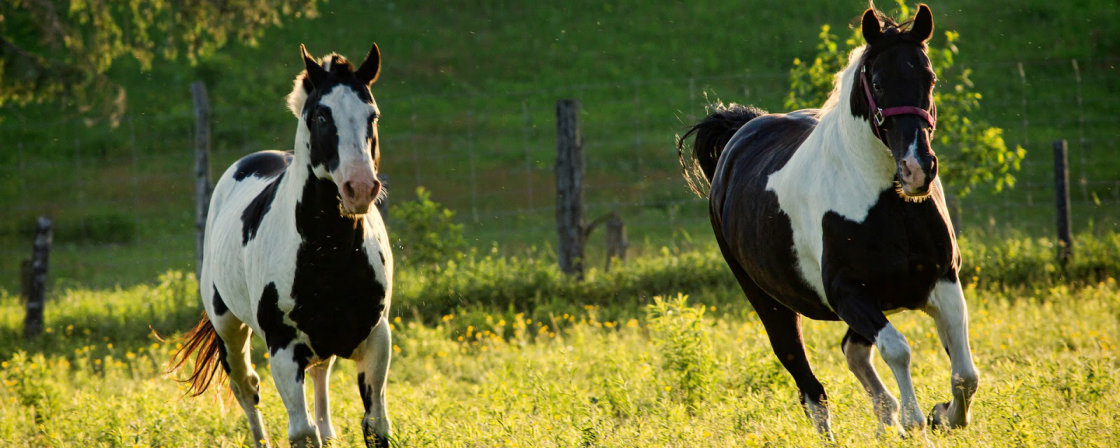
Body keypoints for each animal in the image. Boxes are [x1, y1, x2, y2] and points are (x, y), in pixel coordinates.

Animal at [165, 42, 394, 448]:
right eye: (321, 116)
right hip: (228, 329)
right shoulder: (284, 350)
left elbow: (375, 426)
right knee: (246, 388)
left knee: (320, 375)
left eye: (373, 115)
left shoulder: (376, 338)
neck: (330, 254)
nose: (360, 188)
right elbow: (301, 431)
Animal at [672, 4, 981, 441]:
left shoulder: (943, 279)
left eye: (930, 77)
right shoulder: (848, 292)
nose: (917, 169)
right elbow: (898, 349)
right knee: (810, 388)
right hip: (769, 304)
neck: (887, 205)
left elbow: (965, 375)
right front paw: (916, 423)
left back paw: (886, 419)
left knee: (853, 353)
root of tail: (740, 131)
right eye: (878, 83)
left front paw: (943, 416)